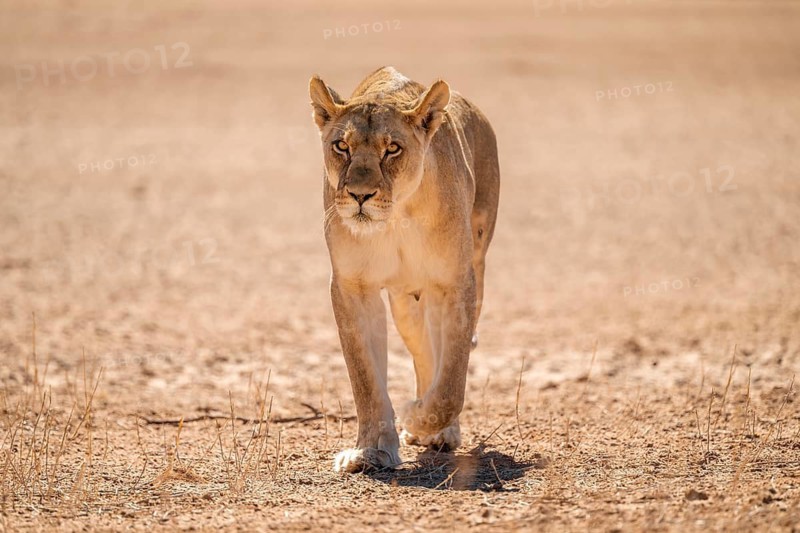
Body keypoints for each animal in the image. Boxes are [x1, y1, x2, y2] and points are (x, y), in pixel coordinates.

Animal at [309, 66, 500, 473]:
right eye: (342, 146)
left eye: (392, 148)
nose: (359, 195)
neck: (395, 219)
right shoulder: (351, 287)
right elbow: (365, 378)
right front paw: (370, 451)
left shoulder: (456, 282)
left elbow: (452, 380)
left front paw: (419, 417)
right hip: (404, 303)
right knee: (424, 353)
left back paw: (440, 430)